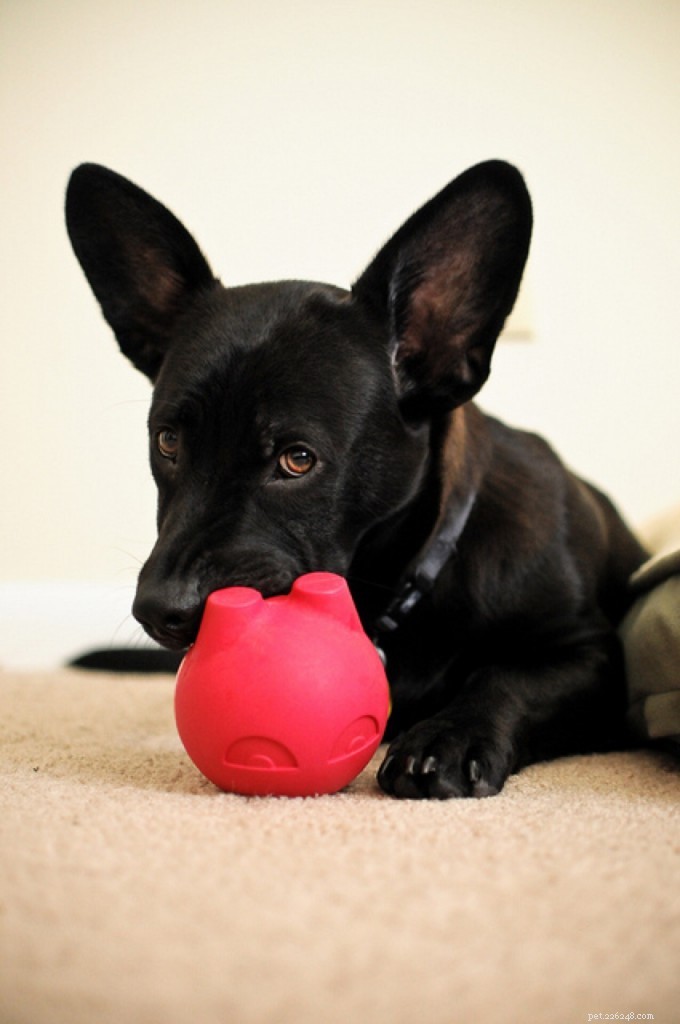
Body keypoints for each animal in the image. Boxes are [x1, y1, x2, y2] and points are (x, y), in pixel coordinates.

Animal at [66, 159, 647, 798]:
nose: (157, 611)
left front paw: (451, 736)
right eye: (168, 442)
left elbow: (507, 679)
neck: (402, 585)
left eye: (296, 459)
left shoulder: (594, 654)